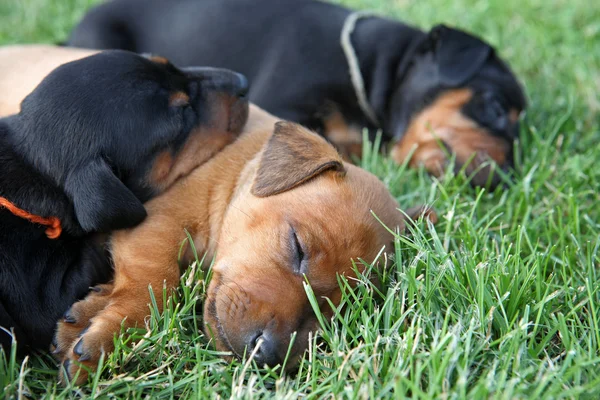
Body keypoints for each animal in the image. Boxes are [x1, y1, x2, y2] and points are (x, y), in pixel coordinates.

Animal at [52, 105, 436, 384]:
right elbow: (153, 285)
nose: (265, 353)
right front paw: (112, 336)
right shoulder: (155, 219)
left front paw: (89, 315)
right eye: (298, 247)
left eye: (338, 313)